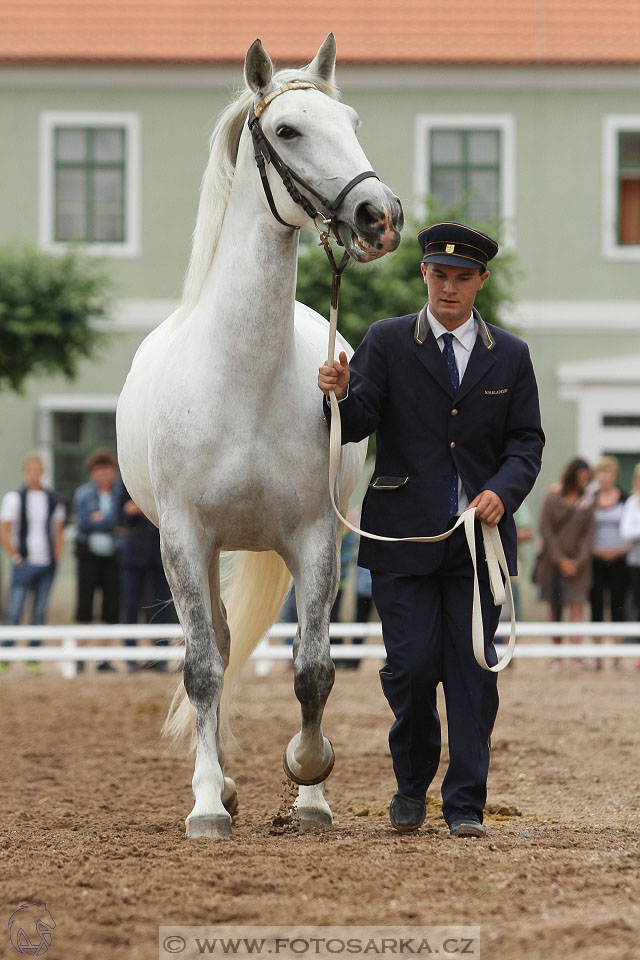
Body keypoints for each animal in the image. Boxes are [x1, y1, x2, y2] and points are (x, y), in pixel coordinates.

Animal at [116, 33, 400, 836]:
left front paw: (310, 786)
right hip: (202, 553)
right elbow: (202, 668)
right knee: (214, 647)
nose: (380, 215)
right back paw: (219, 785)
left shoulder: (315, 538)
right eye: (288, 130)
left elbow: (313, 670)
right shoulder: (184, 539)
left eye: (353, 122)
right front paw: (210, 803)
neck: (241, 381)